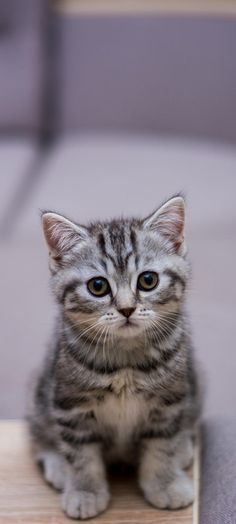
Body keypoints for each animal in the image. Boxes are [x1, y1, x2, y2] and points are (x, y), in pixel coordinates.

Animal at [28, 196, 200, 520]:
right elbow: (81, 455)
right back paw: (57, 465)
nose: (126, 309)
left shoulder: (169, 402)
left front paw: (165, 483)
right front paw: (85, 491)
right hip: (41, 390)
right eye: (98, 286)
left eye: (148, 280)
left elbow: (162, 446)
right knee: (38, 432)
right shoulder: (70, 405)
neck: (125, 363)